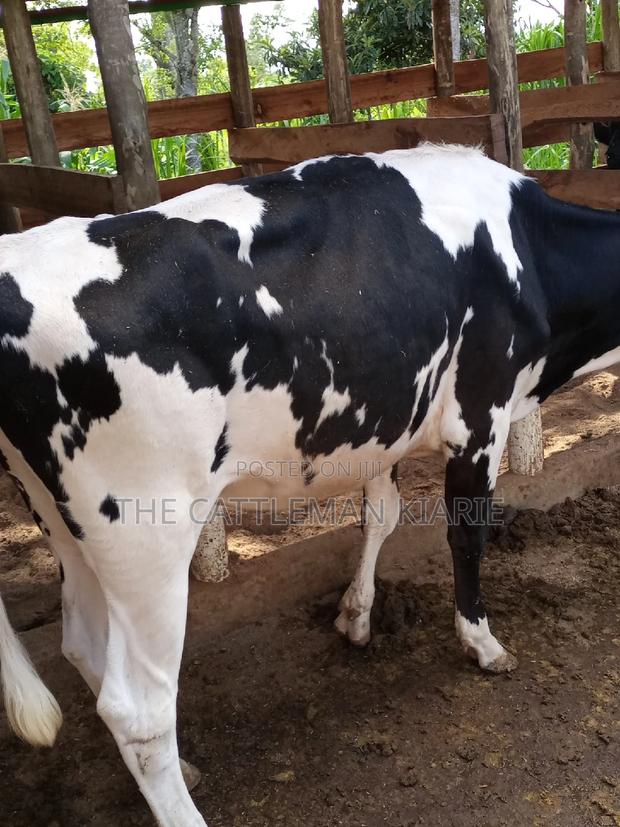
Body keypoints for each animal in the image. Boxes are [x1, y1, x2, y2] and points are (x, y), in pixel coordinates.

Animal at [1, 143, 620, 826]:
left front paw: (357, 615)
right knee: (137, 708)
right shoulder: (479, 416)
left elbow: (383, 516)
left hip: (61, 517)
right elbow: (466, 538)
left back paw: (183, 768)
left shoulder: (387, 420)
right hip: (143, 524)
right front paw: (481, 643)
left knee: (83, 646)